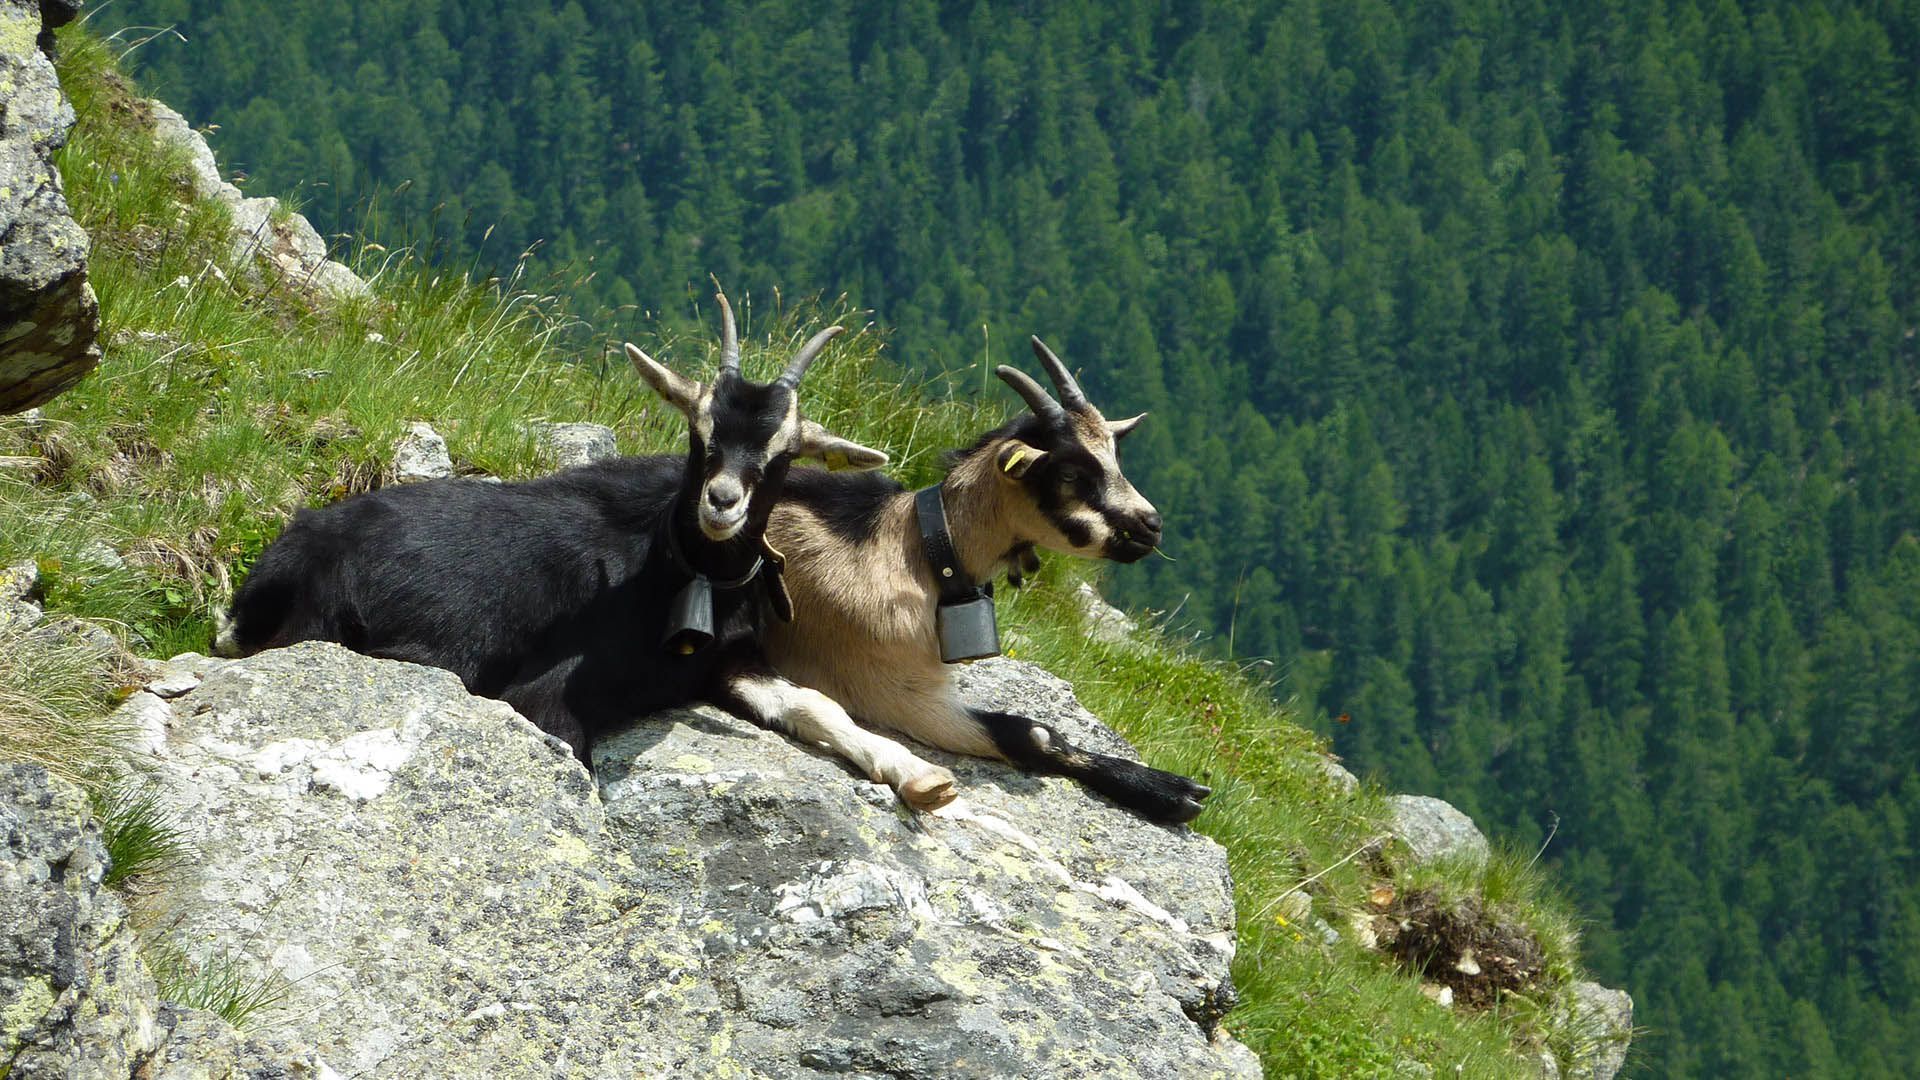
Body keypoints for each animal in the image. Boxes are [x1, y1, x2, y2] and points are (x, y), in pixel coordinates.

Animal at [216, 293, 890, 761]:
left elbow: (816, 702)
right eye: (700, 434)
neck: (673, 572)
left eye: (783, 454)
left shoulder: (729, 660)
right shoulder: (544, 697)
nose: (721, 502)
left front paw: (909, 774)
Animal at [719, 337, 1213, 824]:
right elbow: (1030, 735)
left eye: (1115, 459)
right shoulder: (889, 687)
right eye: (1070, 473)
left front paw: (1169, 786)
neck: (915, 550)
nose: (1150, 525)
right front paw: (1167, 791)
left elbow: (1038, 733)